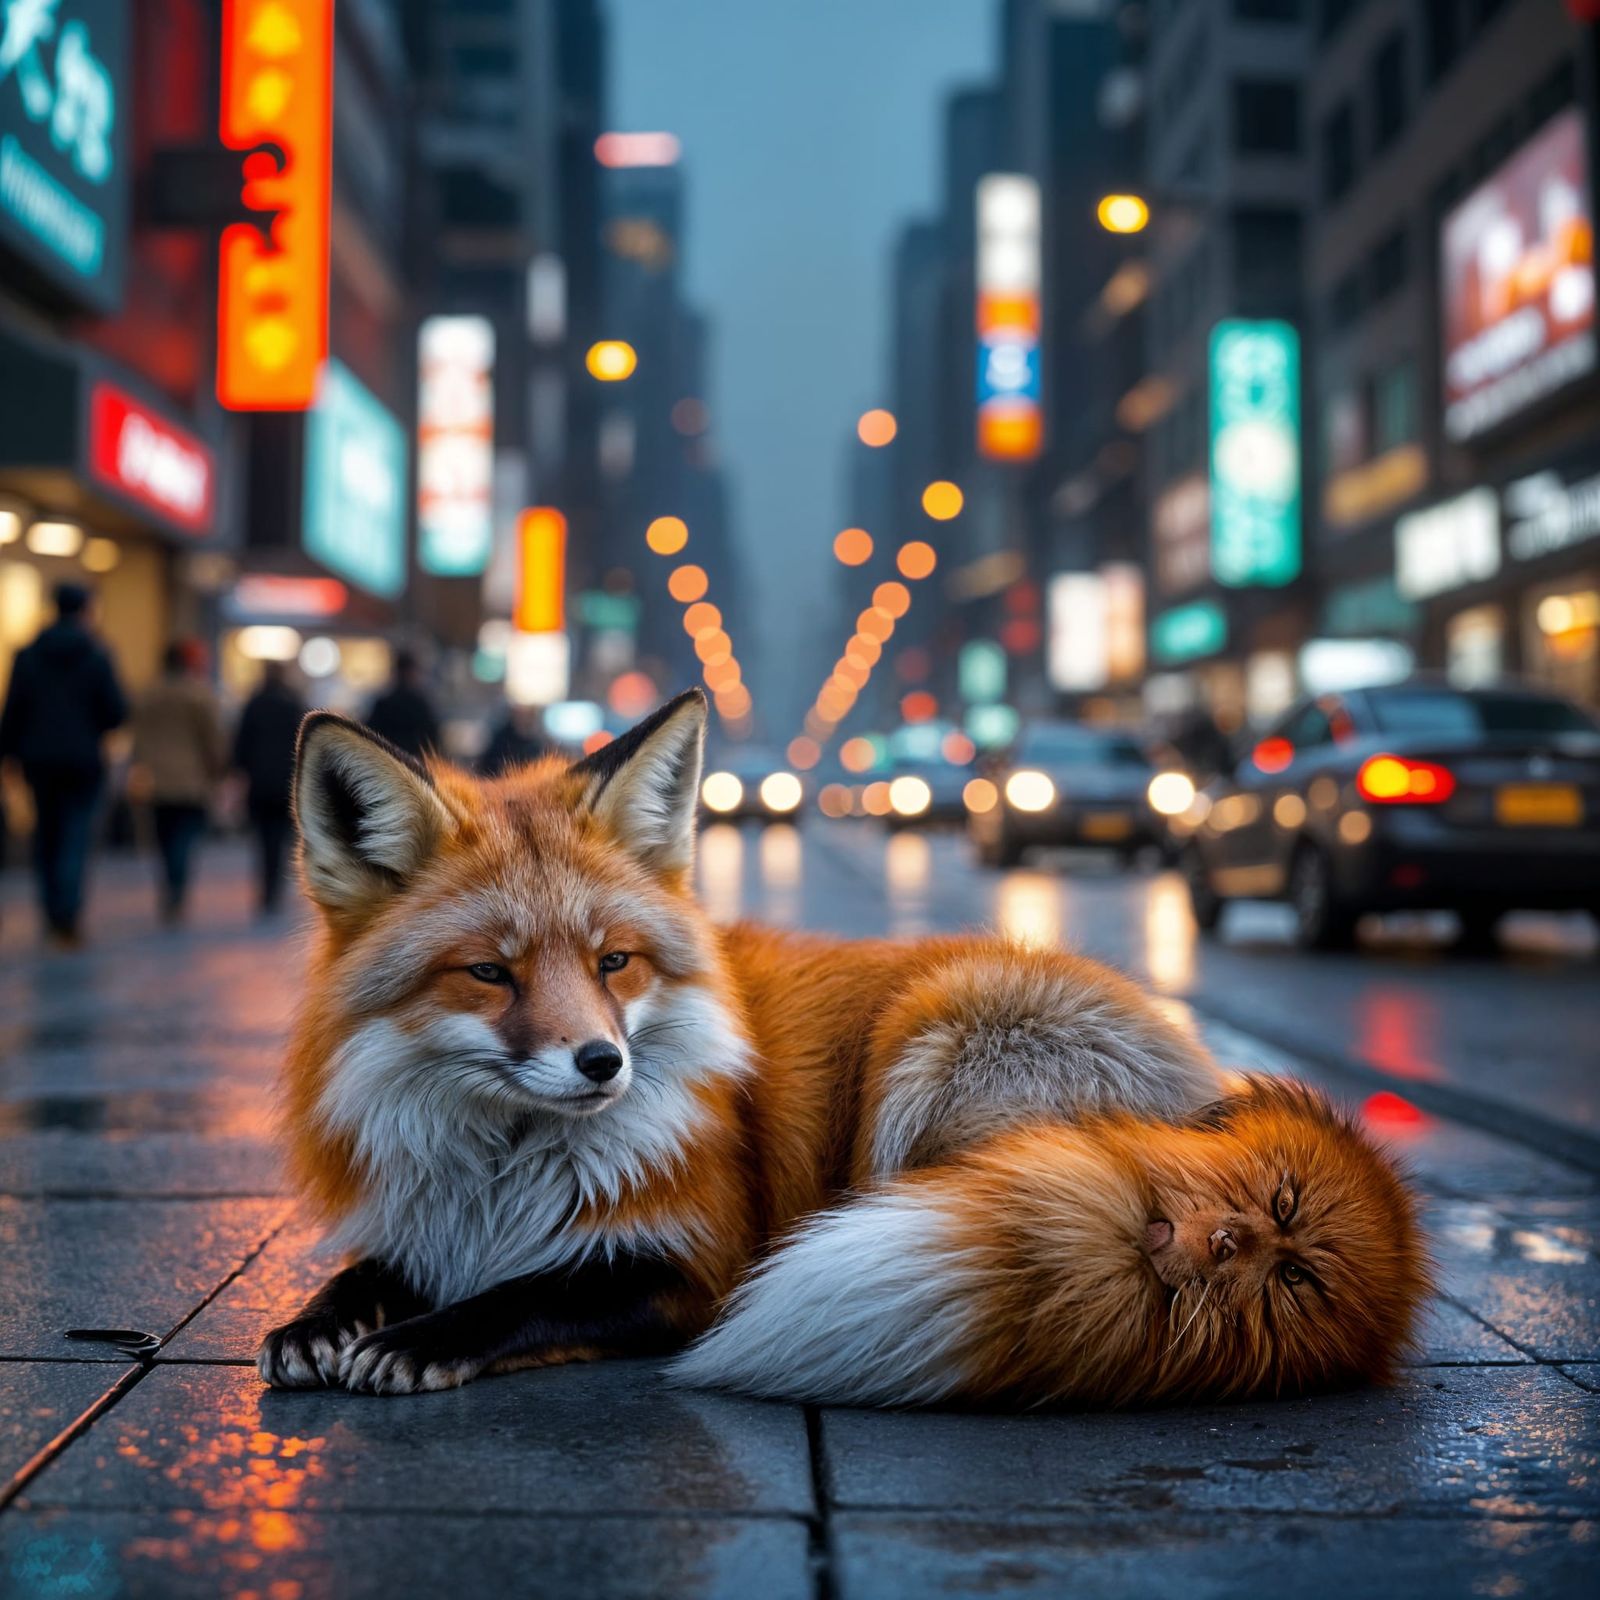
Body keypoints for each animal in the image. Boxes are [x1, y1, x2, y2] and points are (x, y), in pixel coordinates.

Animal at [259, 687, 1430, 1405]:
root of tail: (1234, 1111)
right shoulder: (430, 1224)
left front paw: (420, 1340)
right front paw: (322, 1322)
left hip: (933, 1042)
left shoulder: (693, 1262)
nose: (601, 1064)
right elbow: (373, 1273)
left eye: (613, 963)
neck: (503, 1175)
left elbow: (526, 1296)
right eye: (491, 974)